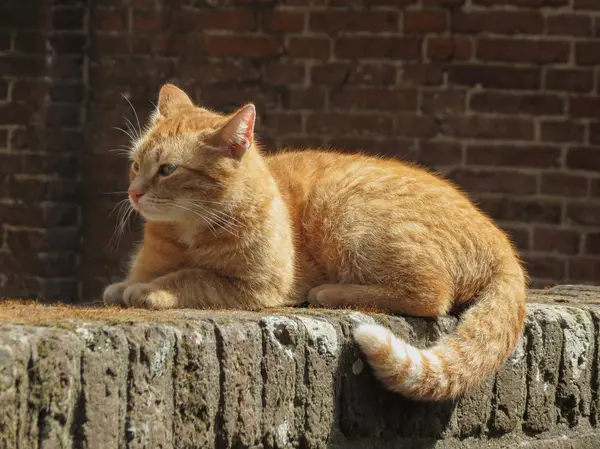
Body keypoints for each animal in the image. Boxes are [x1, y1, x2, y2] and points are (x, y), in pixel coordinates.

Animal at [103, 84, 524, 400]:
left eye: (168, 169)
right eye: (135, 164)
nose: (133, 192)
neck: (186, 232)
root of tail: (503, 245)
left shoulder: (258, 287)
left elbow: (192, 277)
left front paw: (151, 291)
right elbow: (132, 282)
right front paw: (127, 286)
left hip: (344, 209)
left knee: (431, 295)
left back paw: (329, 292)